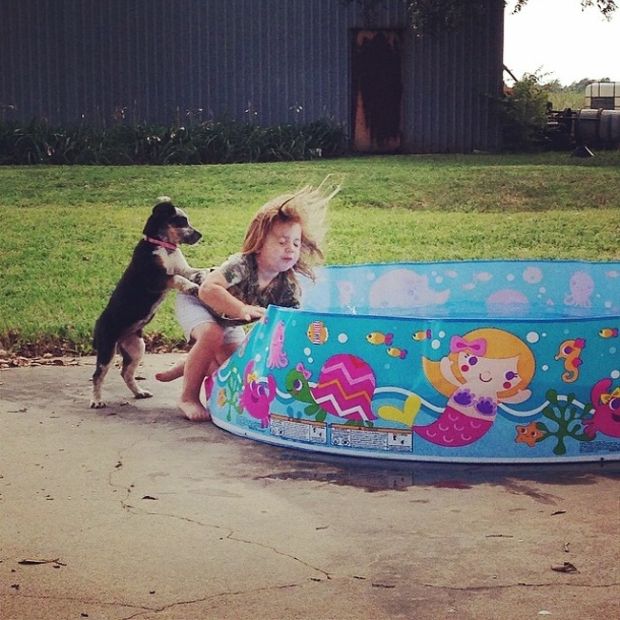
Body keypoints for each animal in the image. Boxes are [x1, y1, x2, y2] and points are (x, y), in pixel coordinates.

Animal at [91, 197, 205, 406]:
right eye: (181, 221)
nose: (200, 235)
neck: (164, 247)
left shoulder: (184, 268)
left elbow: (193, 271)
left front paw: (203, 275)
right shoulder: (155, 279)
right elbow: (175, 278)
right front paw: (191, 287)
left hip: (136, 348)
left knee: (126, 373)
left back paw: (139, 392)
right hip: (107, 349)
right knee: (98, 376)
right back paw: (96, 400)